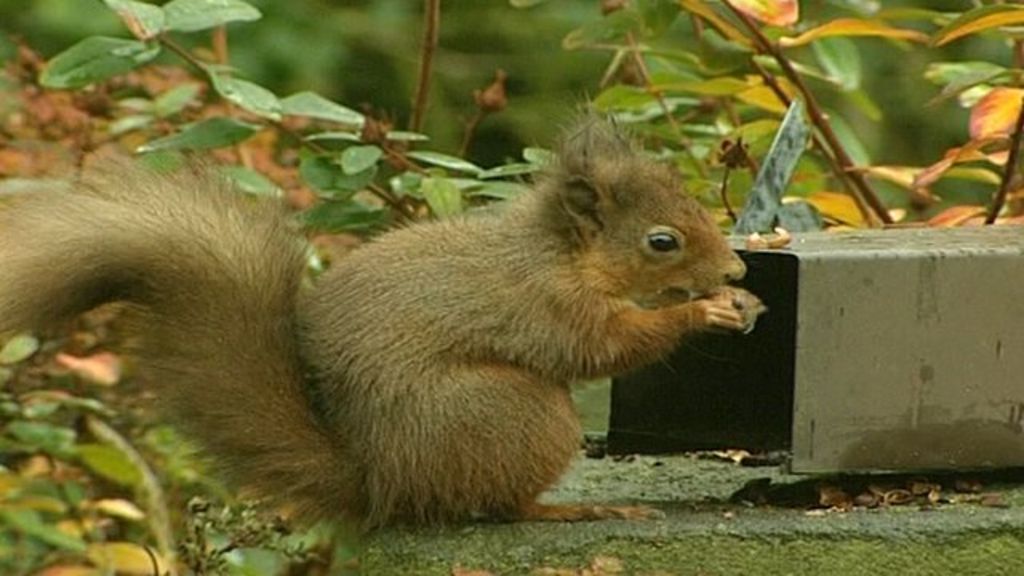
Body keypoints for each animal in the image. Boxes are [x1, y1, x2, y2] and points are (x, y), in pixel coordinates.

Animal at [0, 118, 763, 529]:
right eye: (661, 241)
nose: (734, 270)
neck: (561, 254)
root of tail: (380, 480)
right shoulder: (549, 302)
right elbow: (604, 346)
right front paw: (705, 311)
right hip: (512, 413)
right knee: (499, 507)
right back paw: (569, 510)